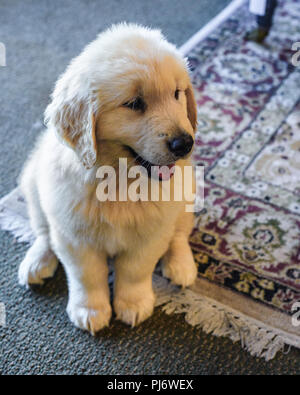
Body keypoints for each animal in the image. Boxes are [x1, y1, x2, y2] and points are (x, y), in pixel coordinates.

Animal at [17, 24, 198, 334]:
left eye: (177, 93)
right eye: (135, 104)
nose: (184, 143)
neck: (118, 180)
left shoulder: (150, 234)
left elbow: (135, 271)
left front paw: (133, 304)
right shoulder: (75, 237)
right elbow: (87, 276)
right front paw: (90, 310)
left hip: (187, 196)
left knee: (179, 233)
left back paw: (182, 265)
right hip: (33, 185)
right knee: (43, 232)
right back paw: (36, 262)